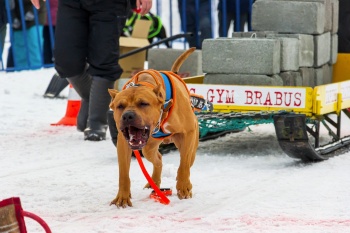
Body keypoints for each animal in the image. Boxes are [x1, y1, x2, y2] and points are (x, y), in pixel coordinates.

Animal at [108, 47, 198, 208]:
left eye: (143, 103)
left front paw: (183, 186)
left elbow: (184, 164)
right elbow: (123, 173)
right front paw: (122, 197)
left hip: (190, 145)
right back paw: (154, 183)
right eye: (120, 106)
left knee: (187, 161)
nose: (128, 116)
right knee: (159, 159)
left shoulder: (189, 132)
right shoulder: (123, 143)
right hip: (148, 148)